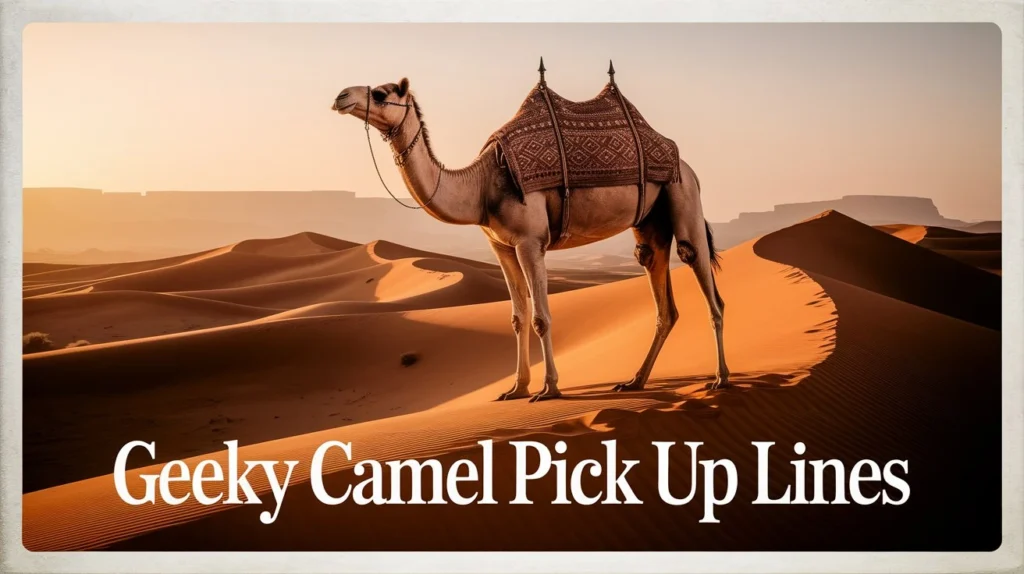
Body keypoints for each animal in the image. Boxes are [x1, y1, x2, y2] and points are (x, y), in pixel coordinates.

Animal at [332, 76, 729, 402]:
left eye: (380, 93)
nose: (340, 96)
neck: (480, 185)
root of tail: (685, 164)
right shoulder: (501, 246)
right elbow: (517, 316)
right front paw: (516, 388)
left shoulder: (529, 241)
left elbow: (541, 317)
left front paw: (549, 388)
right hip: (650, 225)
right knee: (663, 298)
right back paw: (634, 381)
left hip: (683, 195)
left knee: (704, 279)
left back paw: (720, 379)